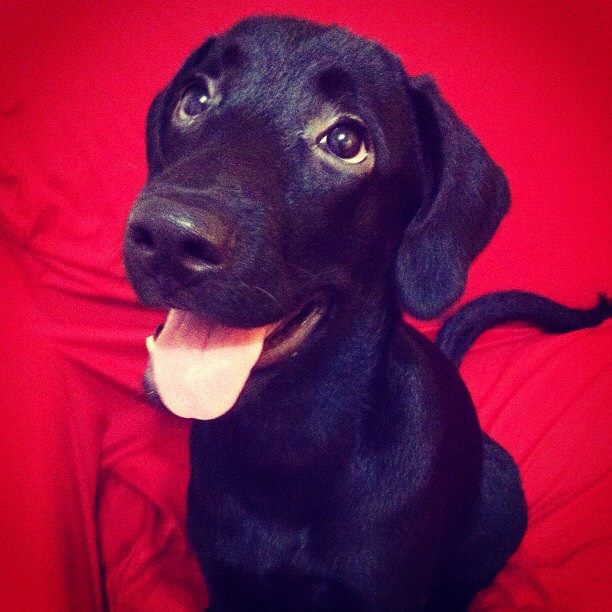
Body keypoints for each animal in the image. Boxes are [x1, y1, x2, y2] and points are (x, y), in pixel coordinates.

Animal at [123, 16, 610, 610]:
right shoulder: (226, 579)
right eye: (194, 99)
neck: (286, 444)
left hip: (501, 494)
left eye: (345, 141)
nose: (168, 237)